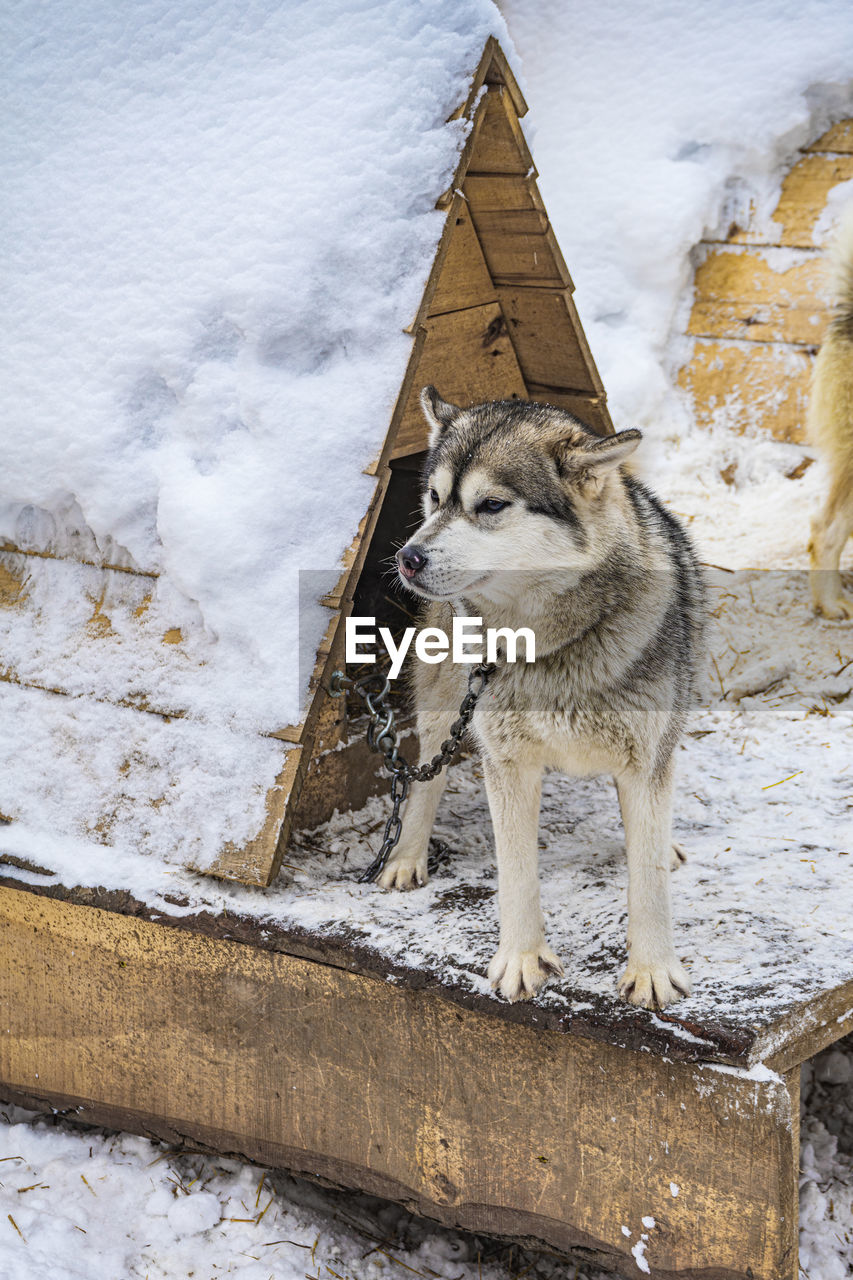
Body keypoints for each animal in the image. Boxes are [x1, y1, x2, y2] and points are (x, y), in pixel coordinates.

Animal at [381, 384, 701, 1003]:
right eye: (435, 498)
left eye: (491, 505)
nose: (408, 558)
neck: (550, 648)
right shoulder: (507, 764)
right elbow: (516, 875)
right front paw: (521, 961)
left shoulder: (645, 761)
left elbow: (647, 882)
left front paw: (651, 970)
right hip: (443, 702)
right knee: (426, 773)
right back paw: (407, 856)